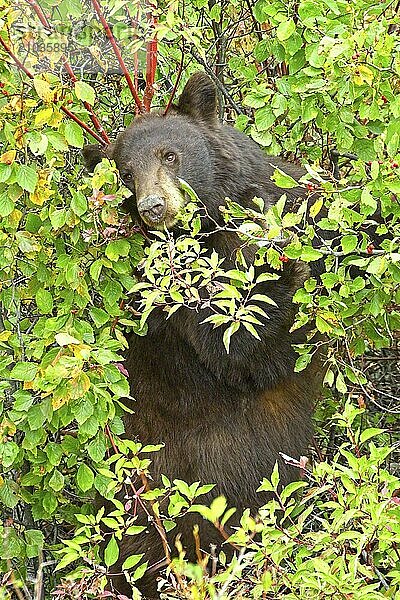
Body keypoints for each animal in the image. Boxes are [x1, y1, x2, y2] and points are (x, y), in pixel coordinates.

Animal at [83, 72, 322, 596]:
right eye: (125, 174)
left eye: (170, 155)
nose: (153, 207)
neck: (211, 230)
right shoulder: (179, 302)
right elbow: (248, 348)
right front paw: (286, 280)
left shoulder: (278, 192)